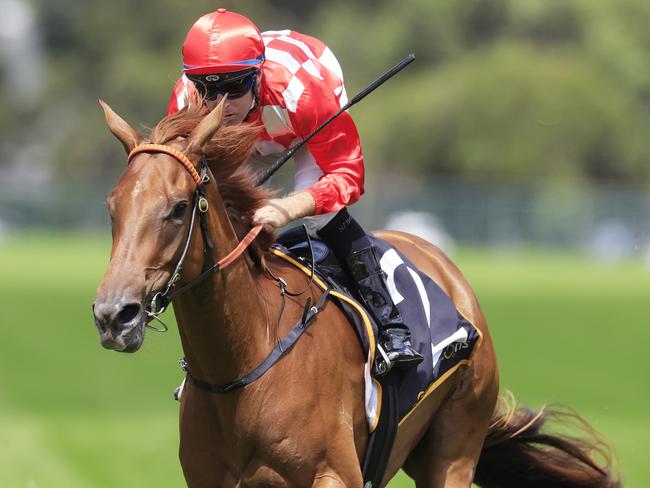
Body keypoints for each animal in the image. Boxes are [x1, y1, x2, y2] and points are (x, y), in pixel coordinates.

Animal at [92, 99, 616, 488]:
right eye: (112, 206)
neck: (244, 364)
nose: (114, 314)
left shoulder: (333, 474)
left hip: (454, 445)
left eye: (178, 208)